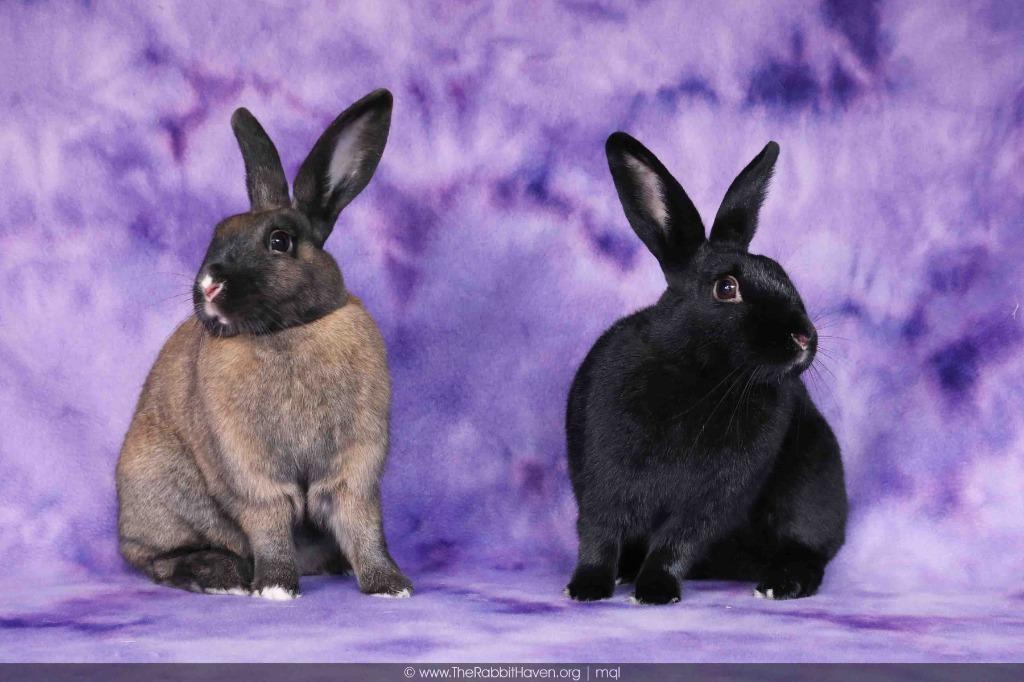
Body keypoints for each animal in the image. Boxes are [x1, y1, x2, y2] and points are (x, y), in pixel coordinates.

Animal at [116, 89, 413, 599]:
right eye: (217, 234)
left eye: (280, 241)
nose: (210, 284)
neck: (285, 331)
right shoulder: (252, 474)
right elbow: (270, 521)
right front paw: (274, 587)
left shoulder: (355, 469)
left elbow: (362, 523)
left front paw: (389, 586)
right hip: (163, 495)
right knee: (156, 558)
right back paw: (222, 576)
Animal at [565, 132, 847, 605]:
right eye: (726, 288)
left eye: (782, 274)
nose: (803, 337)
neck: (704, 379)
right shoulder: (602, 479)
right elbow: (598, 533)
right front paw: (587, 587)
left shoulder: (710, 501)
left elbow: (676, 542)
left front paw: (656, 590)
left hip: (812, 487)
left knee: (807, 551)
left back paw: (780, 584)